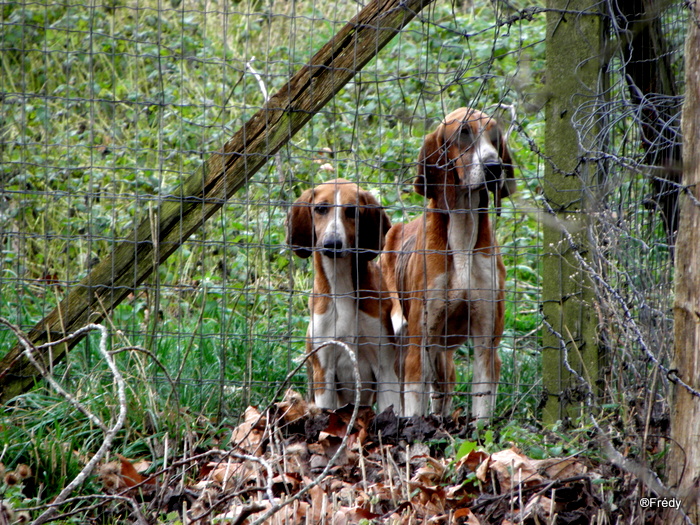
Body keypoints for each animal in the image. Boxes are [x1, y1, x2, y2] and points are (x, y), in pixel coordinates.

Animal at [288, 178, 402, 412]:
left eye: (352, 211)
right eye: (321, 208)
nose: (332, 243)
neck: (341, 285)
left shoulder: (386, 369)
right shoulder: (324, 372)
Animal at [380, 108, 516, 420]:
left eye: (495, 137)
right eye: (463, 133)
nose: (494, 166)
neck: (463, 231)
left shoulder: (486, 343)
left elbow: (482, 407)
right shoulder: (419, 345)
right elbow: (413, 408)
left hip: (441, 353)